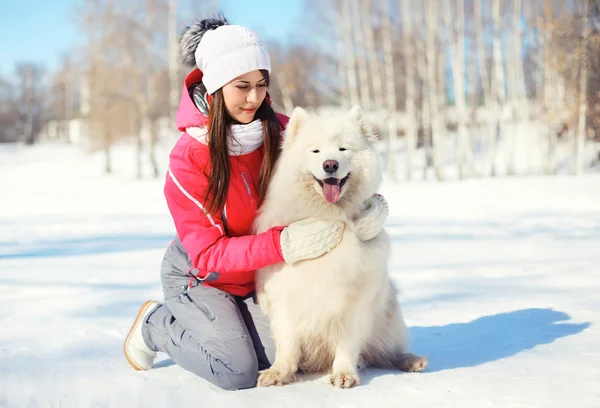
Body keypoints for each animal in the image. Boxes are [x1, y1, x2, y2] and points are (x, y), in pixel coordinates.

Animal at [253, 105, 426, 388]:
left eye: (343, 149)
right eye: (315, 151)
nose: (330, 164)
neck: (330, 216)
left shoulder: (352, 302)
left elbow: (346, 343)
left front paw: (344, 374)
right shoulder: (287, 297)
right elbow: (288, 343)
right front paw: (279, 372)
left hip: (389, 317)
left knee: (389, 352)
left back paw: (411, 360)